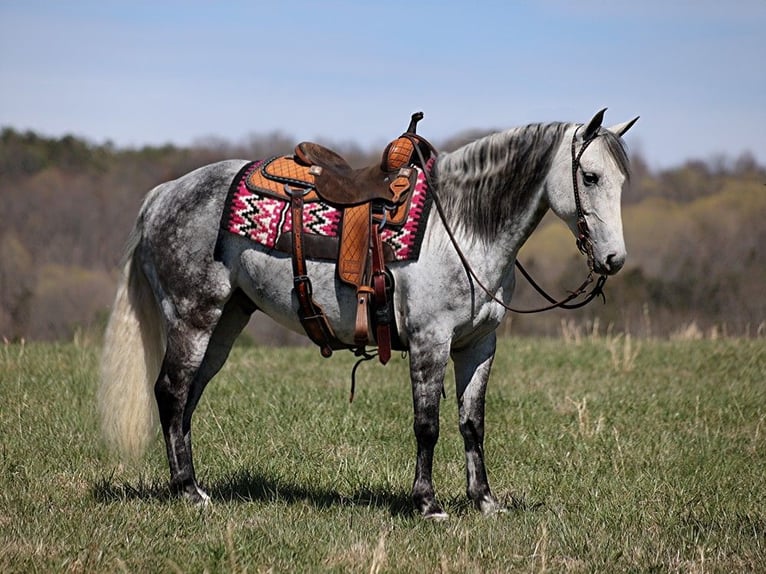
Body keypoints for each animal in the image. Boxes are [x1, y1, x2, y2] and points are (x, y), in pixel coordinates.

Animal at [100, 109, 640, 520]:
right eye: (590, 177)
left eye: (621, 181)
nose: (614, 259)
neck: (462, 227)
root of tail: (163, 194)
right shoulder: (429, 341)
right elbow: (428, 423)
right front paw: (428, 505)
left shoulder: (478, 346)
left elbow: (472, 423)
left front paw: (484, 501)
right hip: (194, 317)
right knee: (171, 392)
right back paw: (189, 492)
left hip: (227, 321)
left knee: (187, 399)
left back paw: (189, 486)